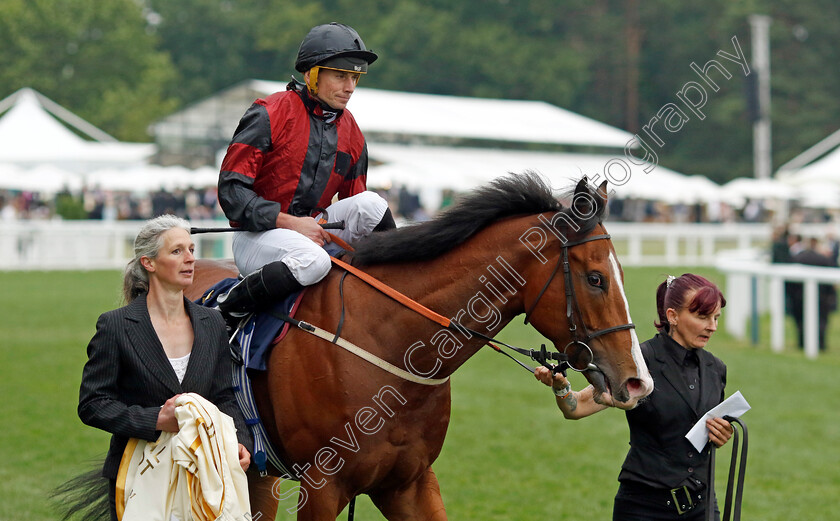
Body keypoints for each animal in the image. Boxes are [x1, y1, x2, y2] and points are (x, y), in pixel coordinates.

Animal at [185, 174, 656, 520]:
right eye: (595, 278)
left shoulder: (409, 482)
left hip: (258, 474)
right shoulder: (322, 485)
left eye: (621, 275)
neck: (387, 344)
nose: (638, 381)